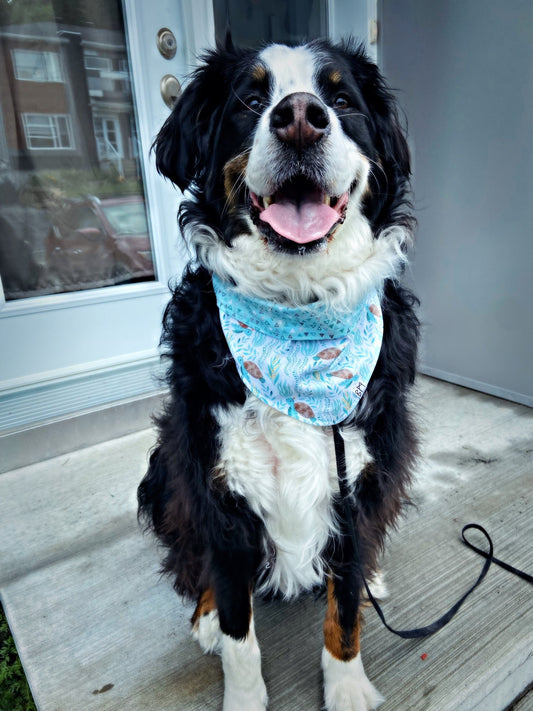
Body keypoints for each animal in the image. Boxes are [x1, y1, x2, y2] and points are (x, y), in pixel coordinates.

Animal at [138, 37, 420, 711]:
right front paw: (240, 686)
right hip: (164, 468)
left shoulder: (358, 480)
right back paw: (204, 616)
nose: (298, 118)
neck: (298, 312)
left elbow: (344, 611)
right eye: (250, 100)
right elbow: (240, 628)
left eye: (341, 99)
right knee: (192, 560)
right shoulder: (217, 489)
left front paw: (346, 685)